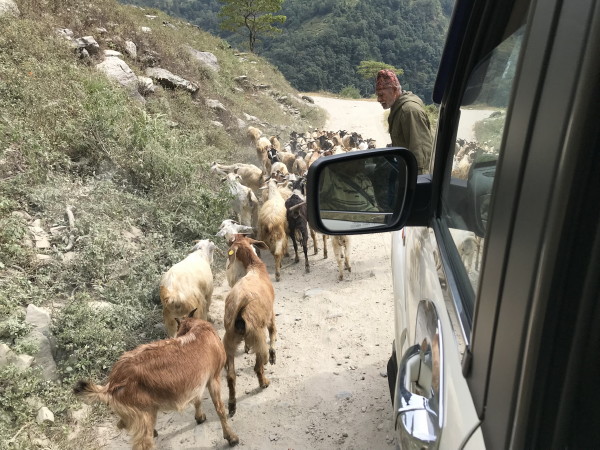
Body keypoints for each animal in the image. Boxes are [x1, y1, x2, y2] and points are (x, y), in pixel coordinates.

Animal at [73, 312, 239, 449]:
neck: (197, 330)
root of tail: (111, 384)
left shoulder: (197, 381)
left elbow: (197, 400)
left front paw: (200, 417)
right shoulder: (213, 378)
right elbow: (220, 410)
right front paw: (231, 437)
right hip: (143, 416)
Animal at [223, 235, 277, 416]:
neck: (255, 268)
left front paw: (246, 347)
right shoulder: (270, 312)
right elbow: (273, 331)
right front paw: (273, 355)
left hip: (229, 341)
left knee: (231, 376)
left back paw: (232, 405)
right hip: (258, 337)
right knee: (258, 367)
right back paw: (264, 382)